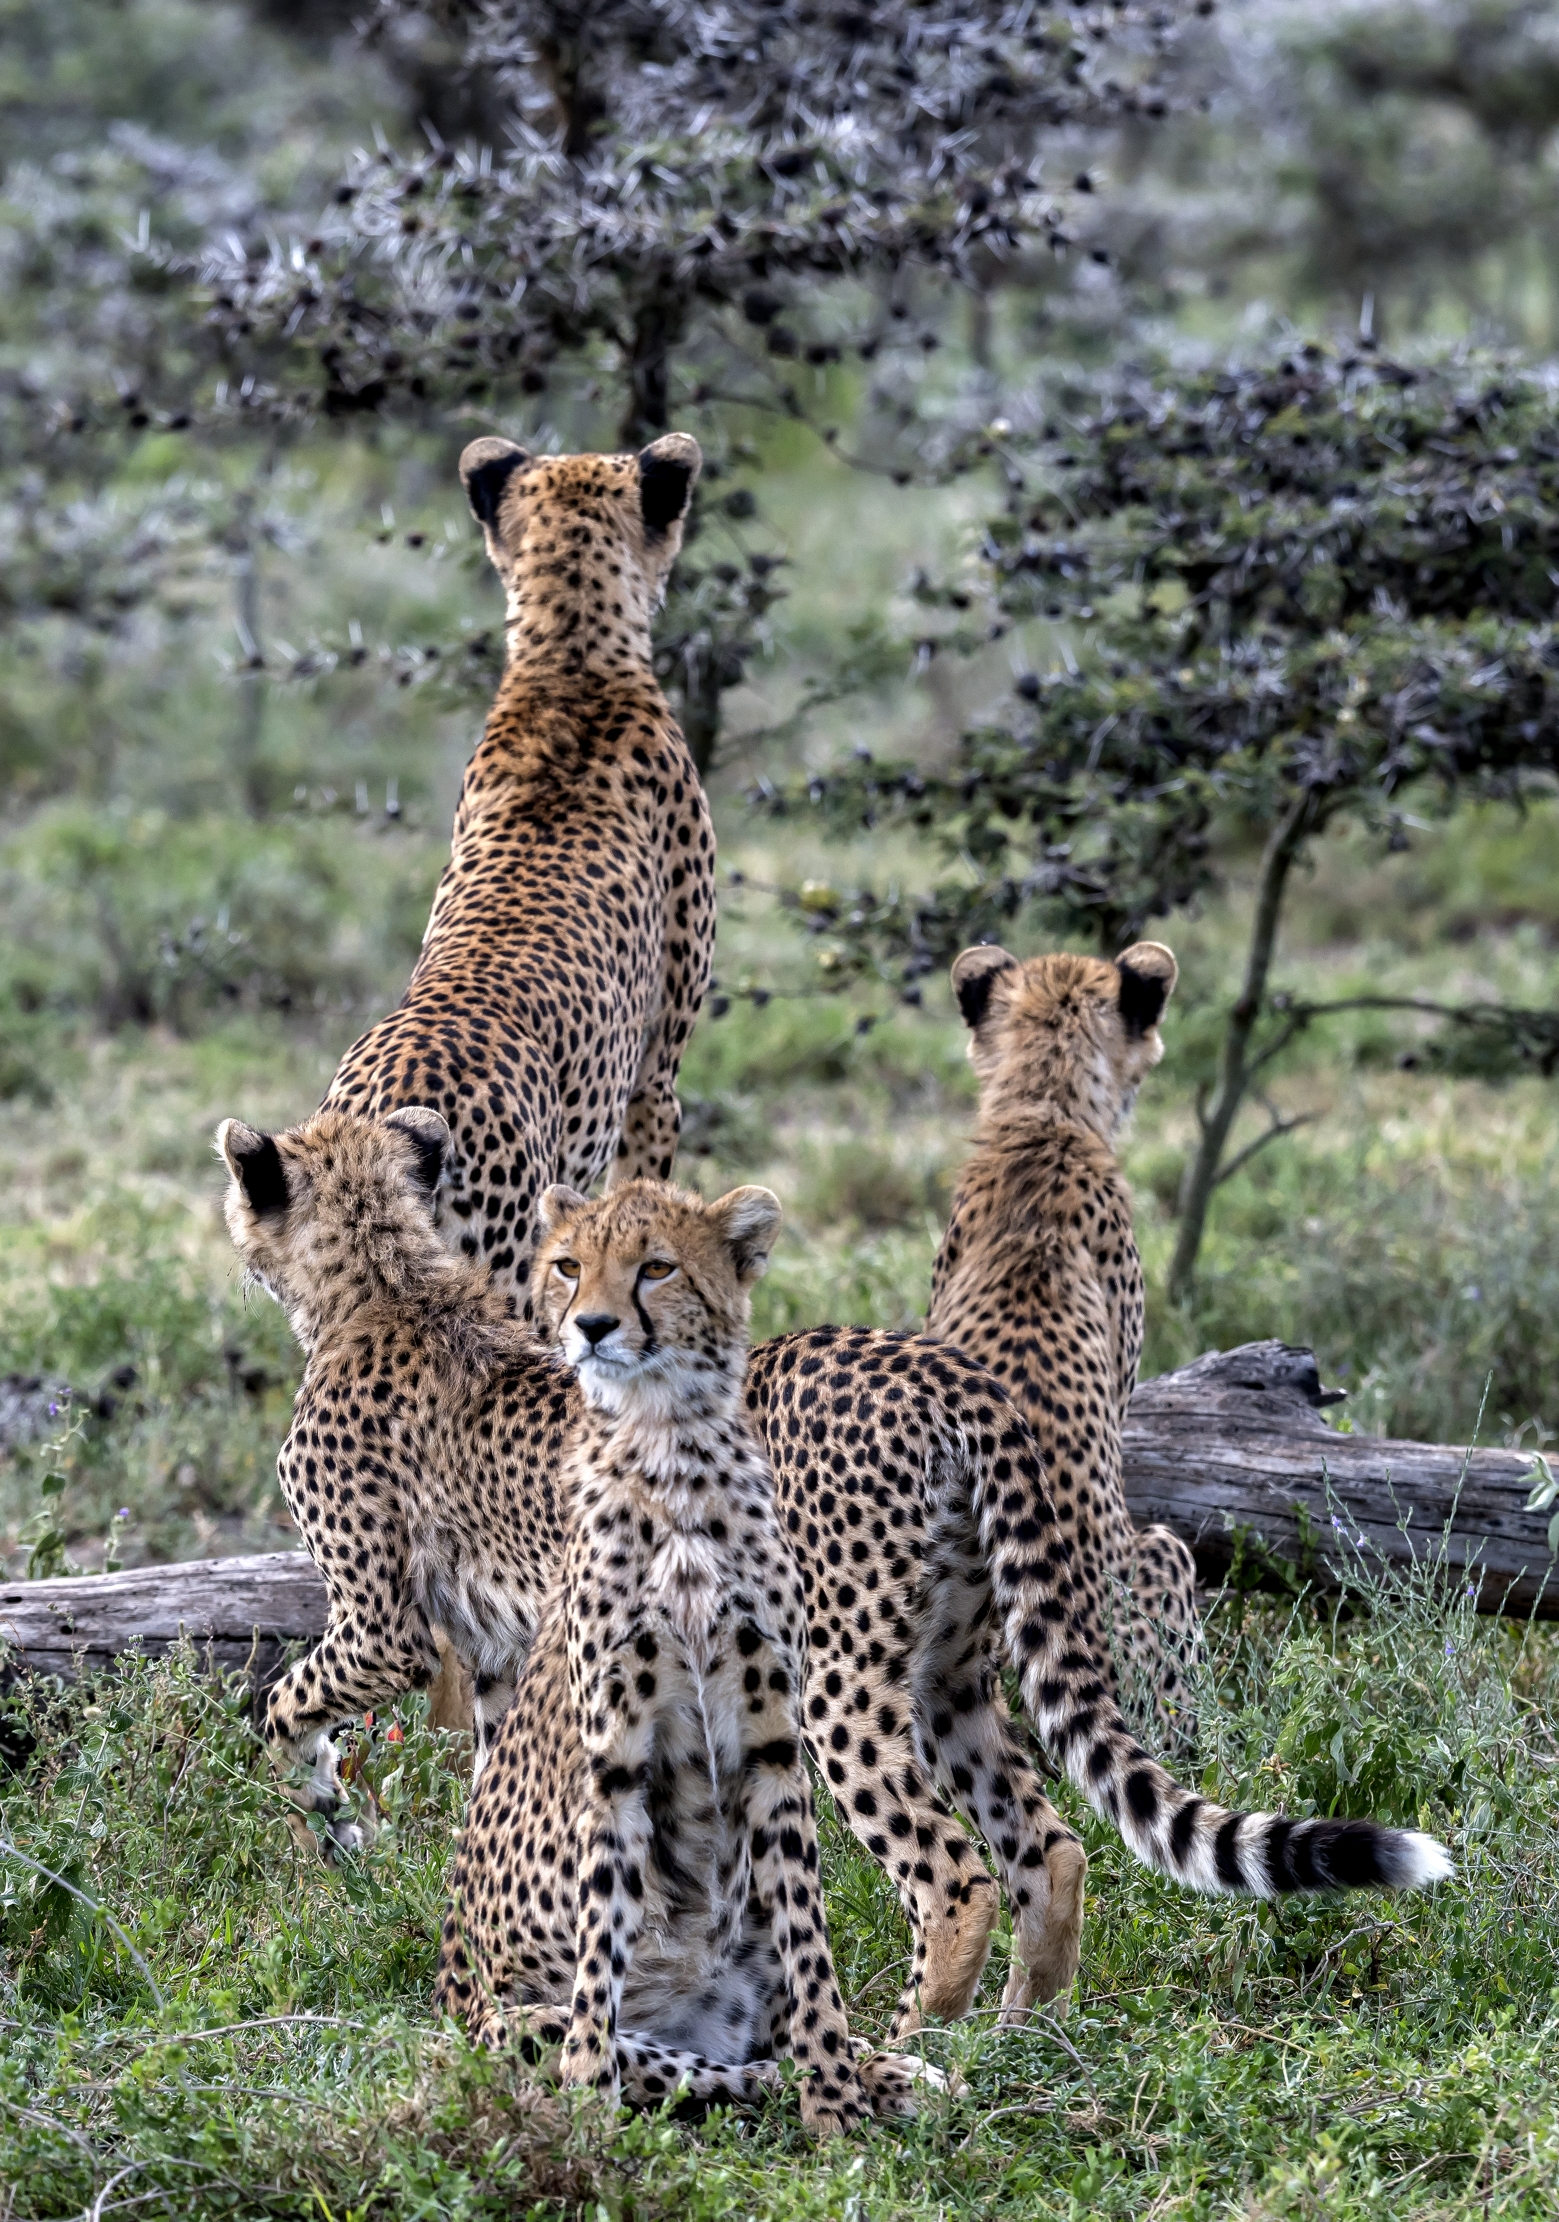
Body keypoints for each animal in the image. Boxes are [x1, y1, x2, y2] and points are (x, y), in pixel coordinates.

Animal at [221, 1104, 1451, 2034]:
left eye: (652, 1268)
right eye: (565, 1263)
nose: (589, 1326)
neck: (382, 1279)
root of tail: (929, 1364)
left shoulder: (384, 1622)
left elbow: (280, 1705)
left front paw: (320, 1832)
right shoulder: (507, 1651)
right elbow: (504, 1791)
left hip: (829, 1675)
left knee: (953, 1874)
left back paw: (899, 2040)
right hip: (950, 1668)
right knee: (1047, 1846)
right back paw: (1022, 2038)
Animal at [432, 1178, 943, 2135]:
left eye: (656, 1268)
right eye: (568, 1265)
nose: (591, 1326)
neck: (668, 1443)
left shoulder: (774, 1740)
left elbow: (811, 1948)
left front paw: (837, 2104)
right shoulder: (615, 1756)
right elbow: (602, 1952)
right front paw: (587, 2108)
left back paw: (886, 2070)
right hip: (505, 2021)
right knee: (684, 2066)